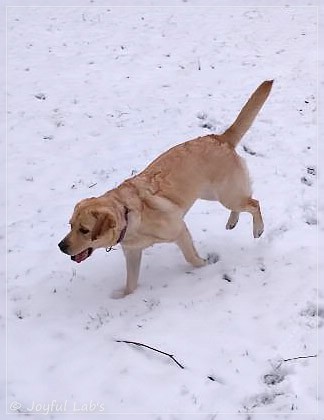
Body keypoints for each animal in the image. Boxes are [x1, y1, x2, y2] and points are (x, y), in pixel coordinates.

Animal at [58, 81, 274, 296]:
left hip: (226, 194)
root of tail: (219, 137)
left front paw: (204, 265)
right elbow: (131, 283)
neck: (128, 216)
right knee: (245, 201)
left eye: (84, 230)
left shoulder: (179, 231)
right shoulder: (133, 253)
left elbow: (191, 257)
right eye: (70, 225)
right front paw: (123, 297)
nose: (61, 246)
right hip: (213, 194)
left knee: (254, 203)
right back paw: (232, 221)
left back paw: (258, 229)